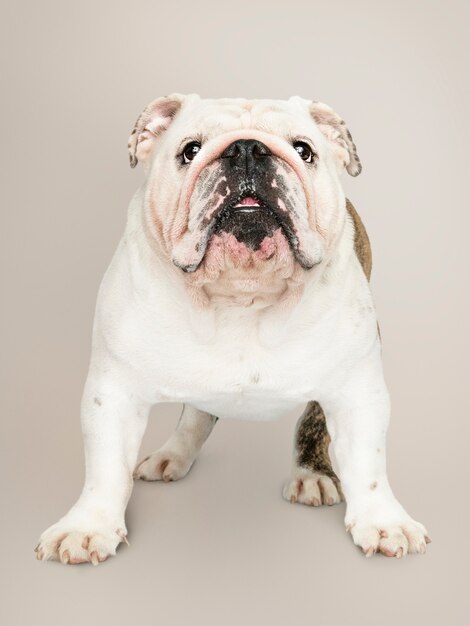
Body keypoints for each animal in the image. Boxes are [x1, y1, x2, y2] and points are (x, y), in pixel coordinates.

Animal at [36, 94, 430, 564]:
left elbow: (368, 463)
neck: (241, 294)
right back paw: (173, 454)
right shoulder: (112, 392)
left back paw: (310, 475)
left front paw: (384, 521)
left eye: (303, 150)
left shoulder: (358, 390)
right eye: (190, 151)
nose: (247, 150)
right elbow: (105, 466)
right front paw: (87, 527)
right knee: (197, 412)